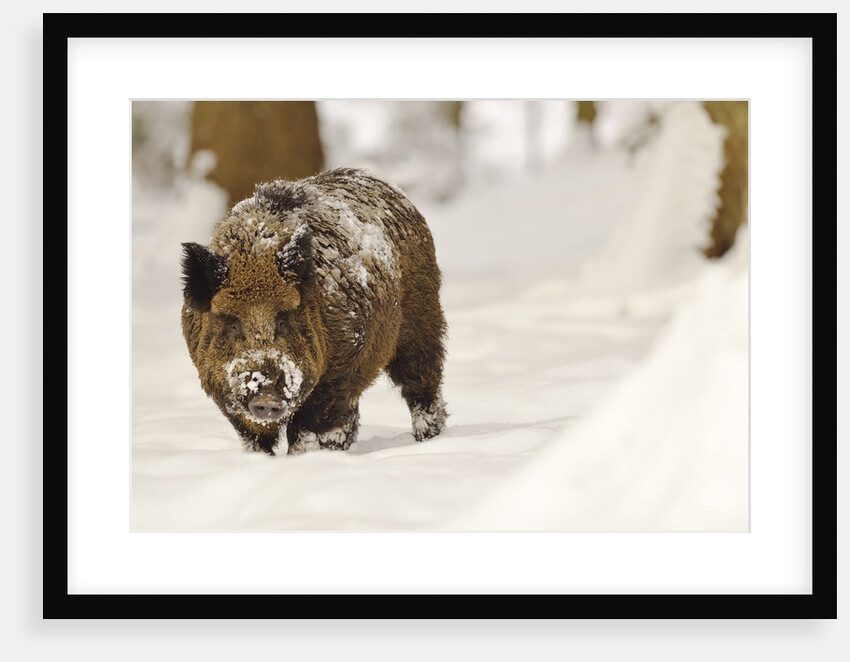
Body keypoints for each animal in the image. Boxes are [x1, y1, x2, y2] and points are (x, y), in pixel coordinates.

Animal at [180, 167, 448, 455]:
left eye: (284, 318)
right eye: (231, 321)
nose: (266, 397)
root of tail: (392, 189)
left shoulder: (338, 371)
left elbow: (305, 430)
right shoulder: (220, 387)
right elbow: (254, 439)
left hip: (422, 320)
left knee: (422, 385)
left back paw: (429, 439)